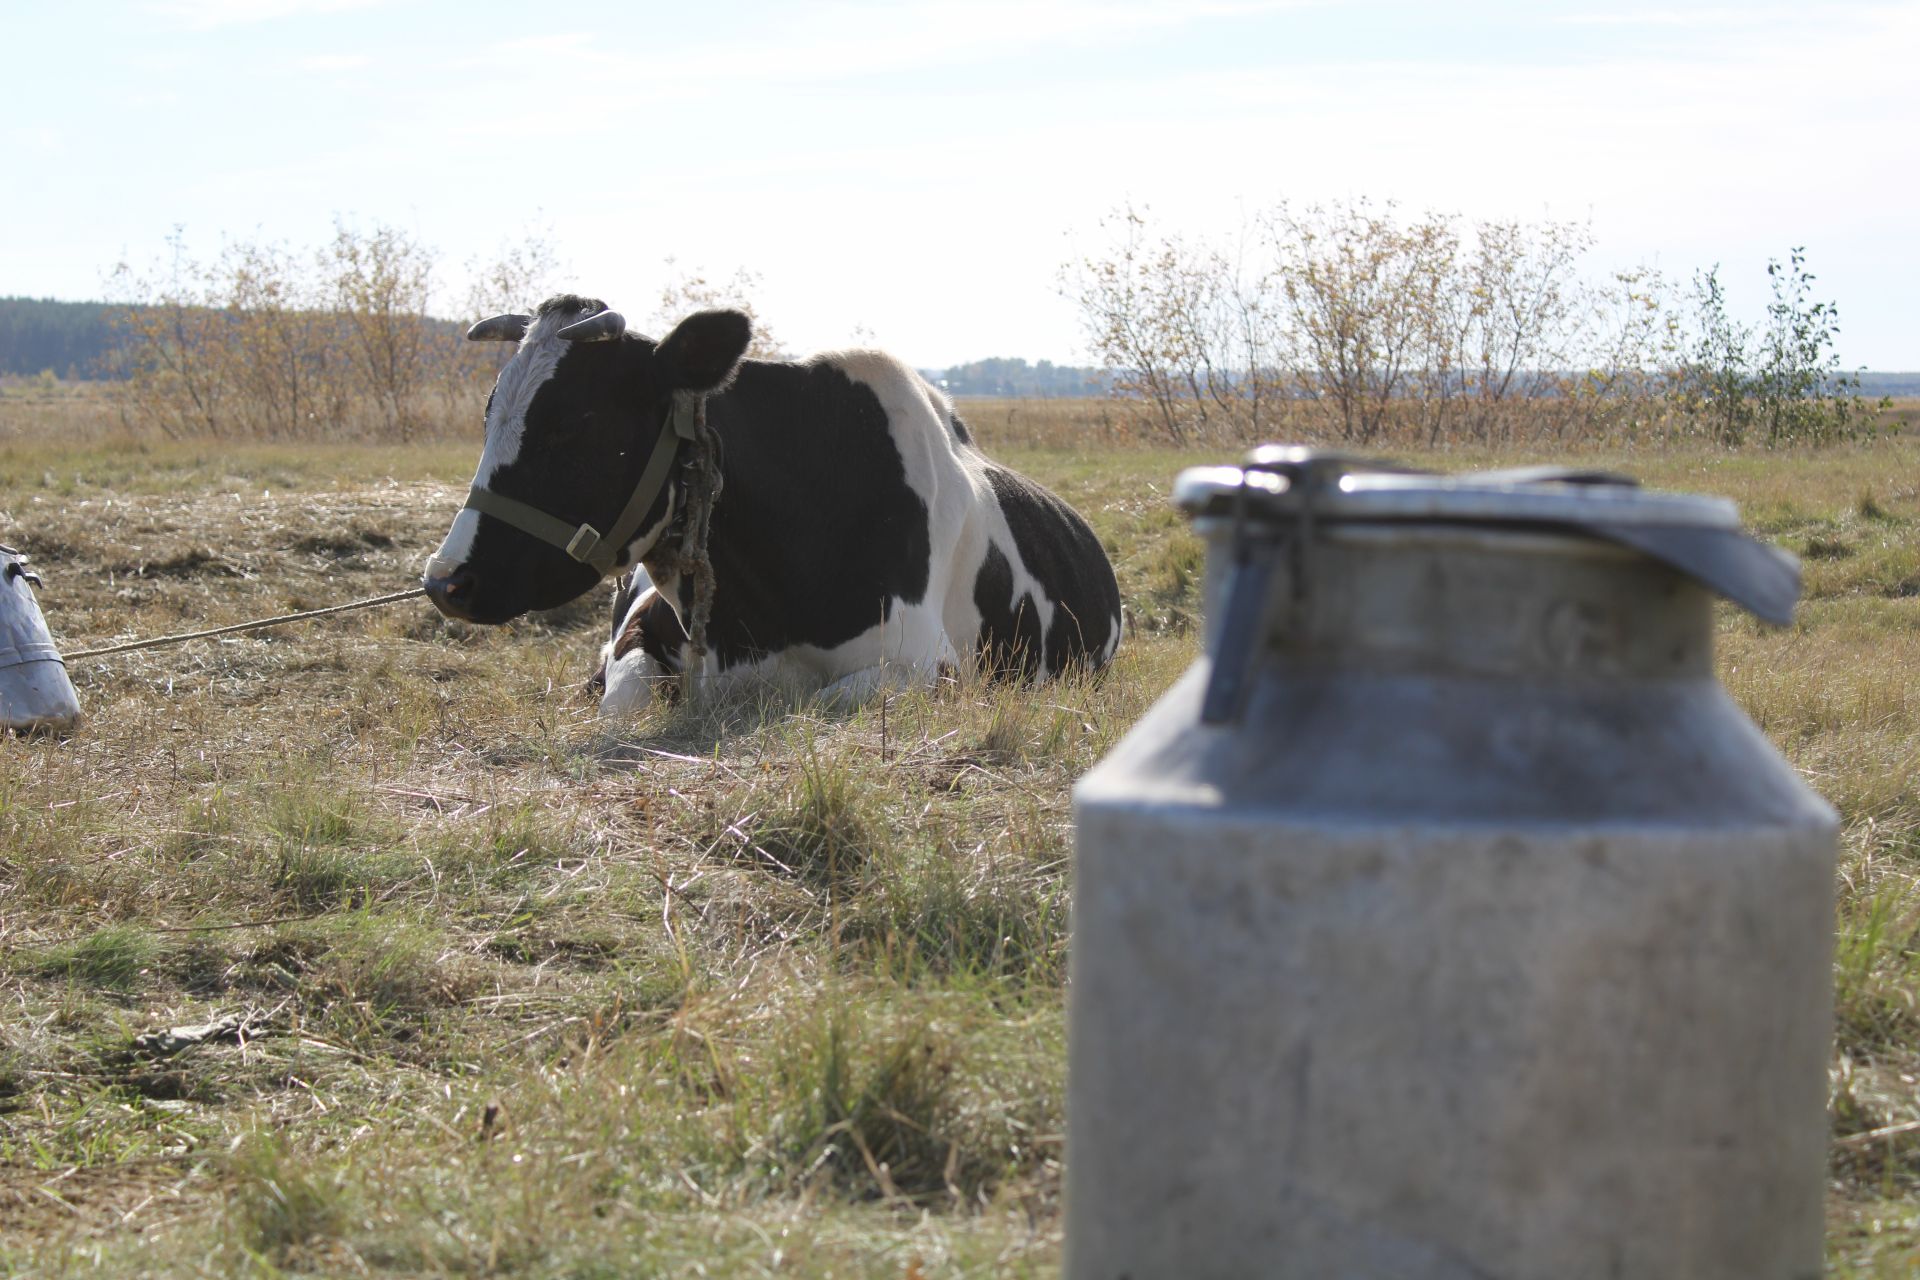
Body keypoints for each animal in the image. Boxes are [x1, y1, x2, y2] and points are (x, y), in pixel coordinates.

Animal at [420, 295, 1121, 710]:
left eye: (574, 424)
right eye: (488, 415)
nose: (445, 580)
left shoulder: (928, 665)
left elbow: (823, 700)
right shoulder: (639, 636)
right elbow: (622, 697)